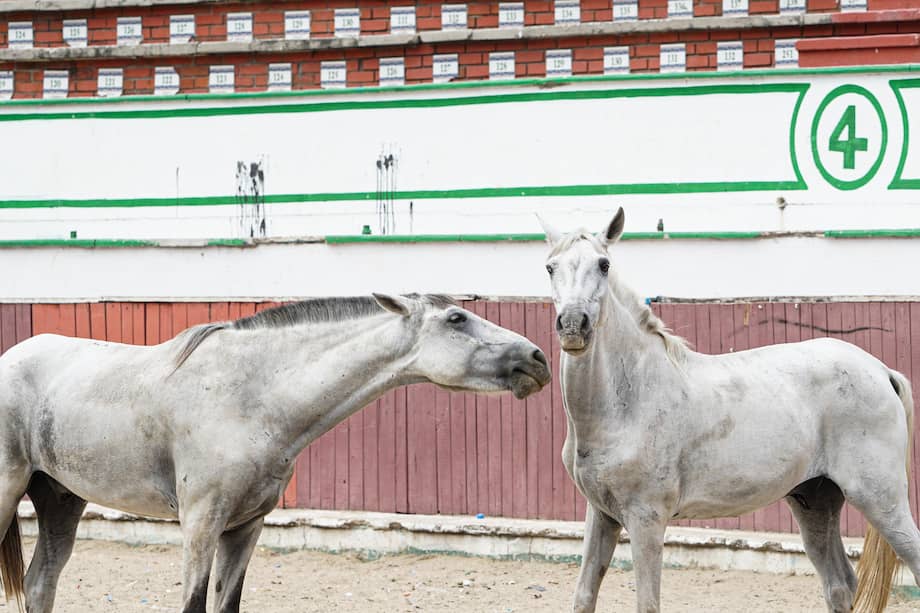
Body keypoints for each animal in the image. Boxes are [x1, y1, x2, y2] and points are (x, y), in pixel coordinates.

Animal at [0, 293, 551, 613]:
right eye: (457, 317)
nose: (538, 358)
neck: (252, 396)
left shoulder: (246, 527)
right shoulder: (201, 524)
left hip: (61, 500)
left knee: (40, 585)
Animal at [539, 208, 917, 613]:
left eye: (604, 264)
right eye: (550, 267)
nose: (573, 325)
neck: (629, 401)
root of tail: (881, 370)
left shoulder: (646, 520)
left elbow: (648, 603)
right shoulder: (602, 515)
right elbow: (583, 597)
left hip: (881, 500)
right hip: (816, 502)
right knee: (840, 585)